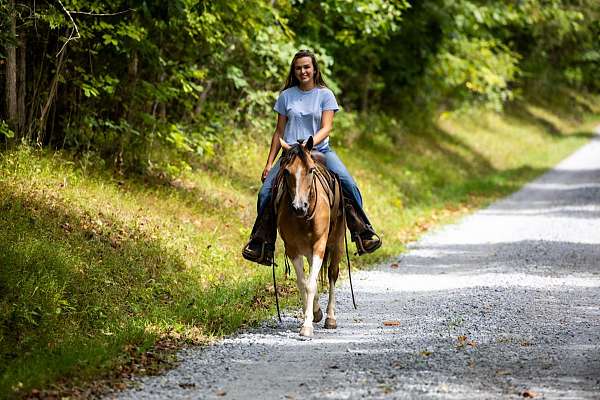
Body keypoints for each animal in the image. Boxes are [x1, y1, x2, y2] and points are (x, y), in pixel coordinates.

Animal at [274, 136, 344, 336]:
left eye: (311, 170)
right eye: (286, 171)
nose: (299, 207)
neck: (303, 218)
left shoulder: (320, 245)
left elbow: (311, 284)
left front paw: (307, 326)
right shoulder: (292, 249)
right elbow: (302, 283)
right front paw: (310, 315)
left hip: (336, 242)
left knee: (332, 274)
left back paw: (330, 318)